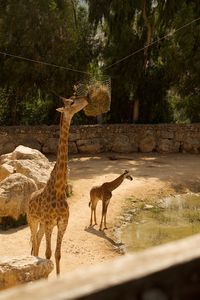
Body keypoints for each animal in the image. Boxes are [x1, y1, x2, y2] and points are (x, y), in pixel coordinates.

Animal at [27, 95, 88, 274]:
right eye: (72, 102)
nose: (86, 99)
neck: (59, 190)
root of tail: (29, 198)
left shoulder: (62, 224)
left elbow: (57, 254)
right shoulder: (49, 223)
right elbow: (48, 254)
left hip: (41, 224)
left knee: (36, 243)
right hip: (32, 221)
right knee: (34, 244)